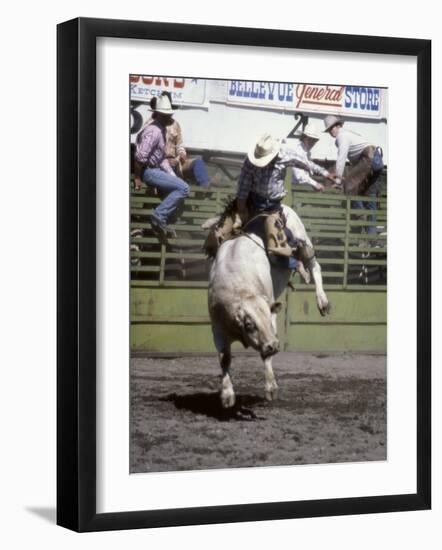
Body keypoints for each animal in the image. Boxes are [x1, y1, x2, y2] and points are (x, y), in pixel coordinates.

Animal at [202, 206, 330, 410]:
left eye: (268, 320)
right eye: (248, 324)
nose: (274, 345)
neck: (241, 289)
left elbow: (265, 356)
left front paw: (271, 388)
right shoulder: (218, 329)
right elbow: (224, 359)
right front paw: (227, 395)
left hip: (302, 237)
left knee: (314, 265)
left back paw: (322, 302)